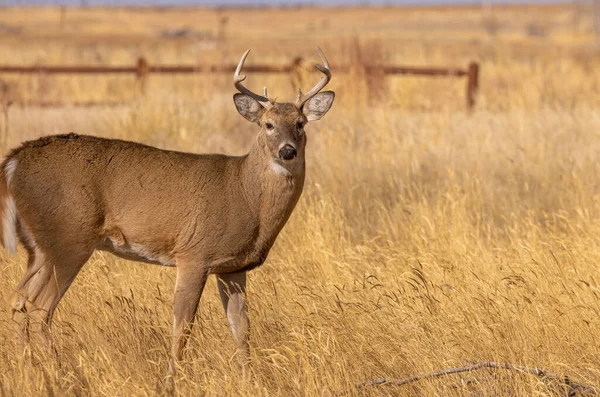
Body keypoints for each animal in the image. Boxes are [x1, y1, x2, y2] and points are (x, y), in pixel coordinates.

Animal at [0, 47, 332, 374]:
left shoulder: (233, 267)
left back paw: (30, 369)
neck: (245, 193)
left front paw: (249, 379)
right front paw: (171, 379)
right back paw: (64, 375)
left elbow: (241, 330)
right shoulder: (194, 254)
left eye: (300, 123)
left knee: (18, 302)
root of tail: (12, 163)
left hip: (39, 248)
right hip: (68, 240)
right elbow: (182, 326)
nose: (287, 151)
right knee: (39, 309)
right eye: (268, 124)